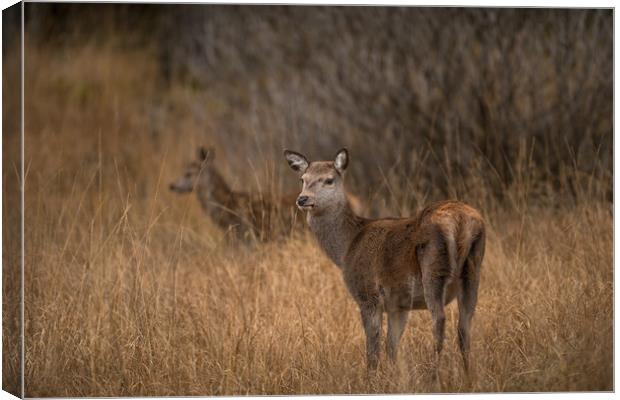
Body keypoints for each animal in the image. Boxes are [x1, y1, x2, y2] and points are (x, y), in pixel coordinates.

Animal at [284, 147, 484, 378]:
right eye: (302, 179)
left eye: (329, 180)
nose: (303, 199)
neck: (346, 248)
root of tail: (462, 222)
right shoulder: (399, 304)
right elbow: (391, 346)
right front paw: (395, 376)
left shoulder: (368, 295)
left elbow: (373, 347)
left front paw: (371, 378)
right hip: (473, 269)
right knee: (465, 325)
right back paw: (468, 374)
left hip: (433, 269)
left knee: (440, 320)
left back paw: (434, 374)